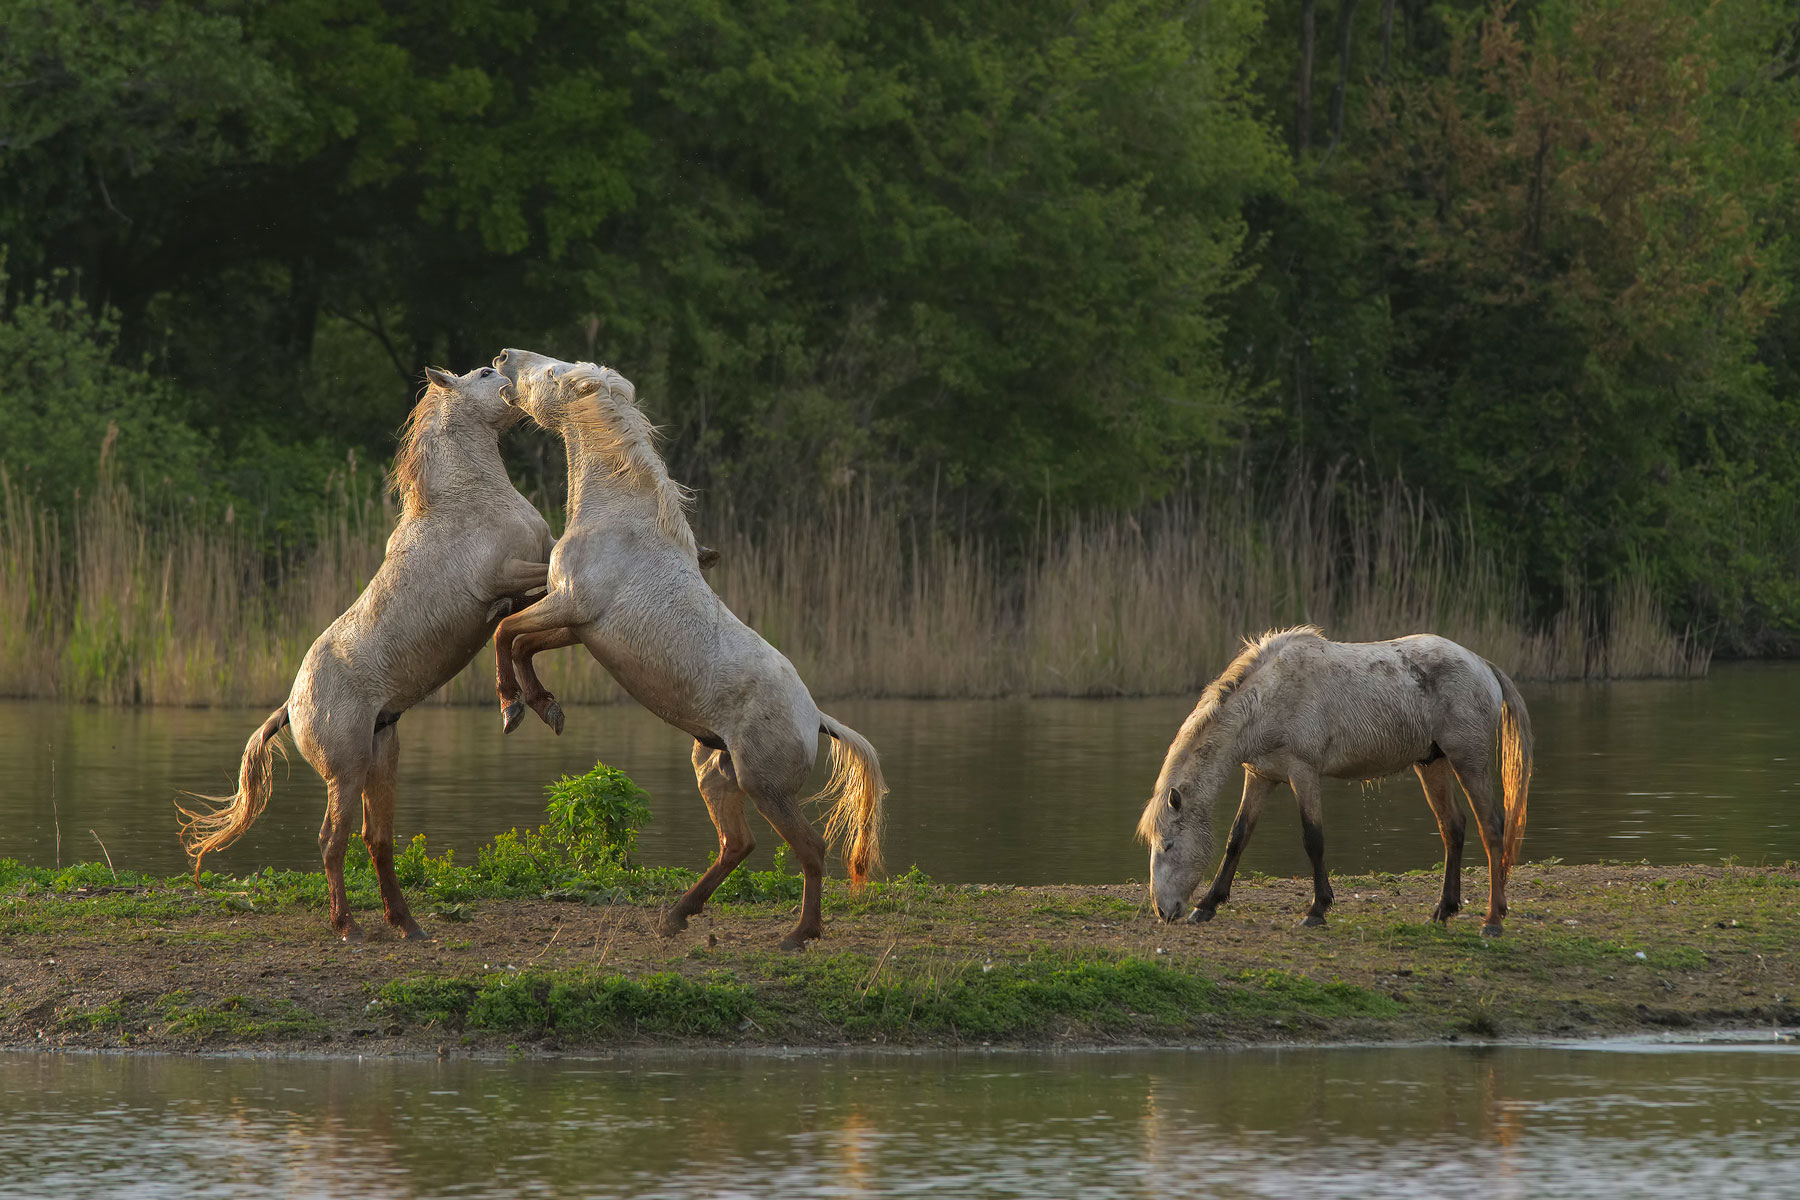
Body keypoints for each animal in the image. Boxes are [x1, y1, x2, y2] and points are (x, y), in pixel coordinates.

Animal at [176, 364, 556, 941]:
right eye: (487, 371)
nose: (516, 378)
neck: (469, 501)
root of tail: (291, 706)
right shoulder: (505, 573)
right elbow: (542, 580)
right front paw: (516, 705)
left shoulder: (524, 574)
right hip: (347, 771)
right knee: (333, 841)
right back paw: (348, 926)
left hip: (383, 758)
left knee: (377, 841)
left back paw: (407, 924)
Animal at [487, 348, 887, 950]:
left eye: (555, 373)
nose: (505, 358)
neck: (617, 519)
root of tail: (815, 717)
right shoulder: (576, 625)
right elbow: (518, 637)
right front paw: (542, 704)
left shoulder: (570, 607)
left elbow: (507, 634)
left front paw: (519, 706)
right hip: (714, 770)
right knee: (737, 845)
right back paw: (677, 915)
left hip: (764, 786)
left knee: (810, 849)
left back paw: (800, 934)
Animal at [1137, 626, 1532, 936]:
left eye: (1168, 845)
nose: (1163, 910)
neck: (1267, 699)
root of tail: (1483, 664)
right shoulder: (1261, 776)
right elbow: (1238, 838)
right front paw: (1207, 905)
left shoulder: (1303, 773)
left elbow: (1313, 839)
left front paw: (1317, 910)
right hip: (1431, 763)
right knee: (1453, 827)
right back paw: (1443, 911)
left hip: (1469, 761)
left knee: (1491, 828)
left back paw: (1493, 920)